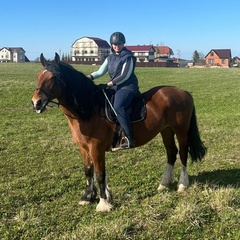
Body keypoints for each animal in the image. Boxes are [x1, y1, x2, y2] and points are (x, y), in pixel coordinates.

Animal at [31, 52, 206, 212]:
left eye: (53, 78)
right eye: (38, 76)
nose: (36, 103)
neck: (90, 109)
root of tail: (183, 92)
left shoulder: (96, 148)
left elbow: (99, 174)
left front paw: (103, 203)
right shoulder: (84, 148)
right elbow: (88, 172)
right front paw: (87, 197)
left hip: (181, 131)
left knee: (183, 153)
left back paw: (182, 184)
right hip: (166, 130)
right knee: (171, 152)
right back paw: (164, 184)